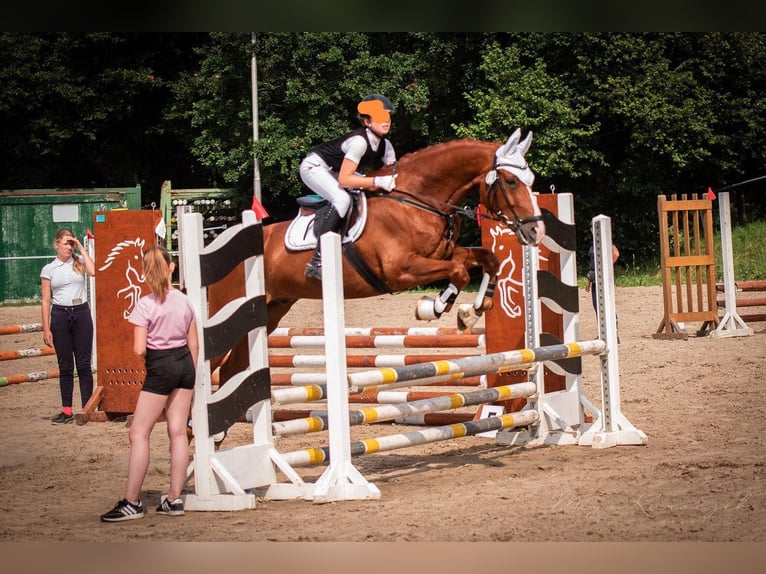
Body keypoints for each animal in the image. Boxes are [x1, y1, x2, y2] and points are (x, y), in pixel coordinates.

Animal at [210, 128, 544, 384]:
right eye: (511, 181)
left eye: (531, 180)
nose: (536, 232)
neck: (419, 201)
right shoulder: (399, 271)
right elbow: (459, 272)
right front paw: (435, 307)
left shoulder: (444, 253)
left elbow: (487, 259)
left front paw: (474, 308)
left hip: (271, 312)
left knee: (229, 370)